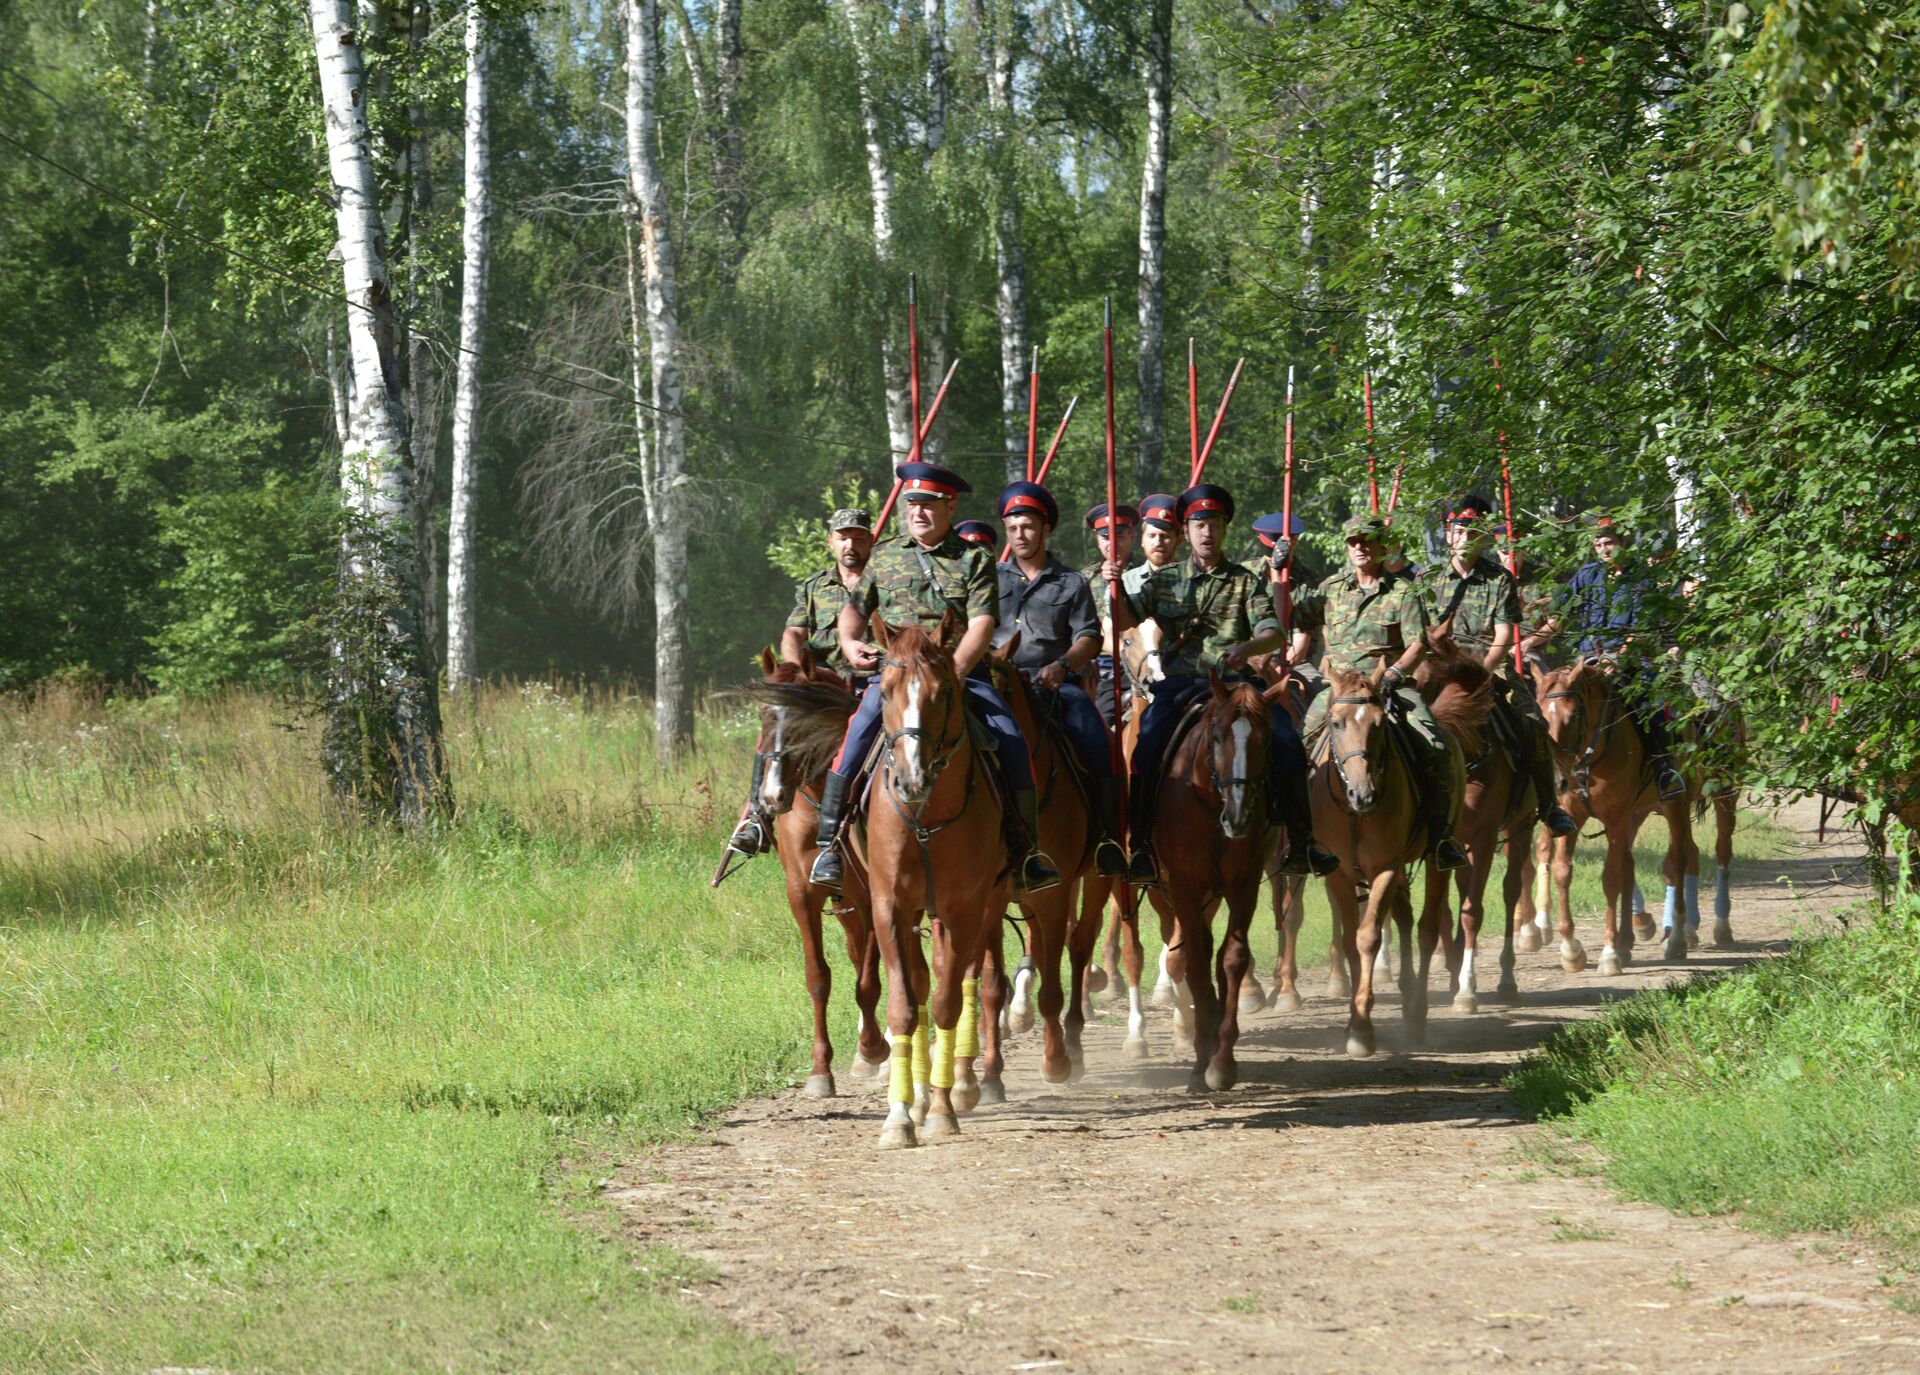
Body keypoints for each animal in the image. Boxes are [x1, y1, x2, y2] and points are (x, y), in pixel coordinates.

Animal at [737, 645, 887, 1098]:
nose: (771, 796)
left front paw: (875, 1048)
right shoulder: (803, 894)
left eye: (808, 719)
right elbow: (819, 977)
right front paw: (822, 1069)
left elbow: (870, 980)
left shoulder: (876, 895)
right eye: (765, 716)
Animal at [860, 618, 1006, 1144]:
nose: (911, 779)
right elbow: (905, 1004)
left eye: (943, 693)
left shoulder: (964, 909)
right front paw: (901, 1115)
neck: (925, 817)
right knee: (921, 983)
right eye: (884, 690)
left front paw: (943, 1110)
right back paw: (920, 1093)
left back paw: (953, 1086)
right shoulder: (889, 907)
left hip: (982, 905)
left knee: (960, 979)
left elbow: (947, 1001)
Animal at [1528, 656, 1712, 971]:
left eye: (1573, 715)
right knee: (1632, 865)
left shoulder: (1615, 819)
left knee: (1677, 862)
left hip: (1675, 806)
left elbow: (1611, 878)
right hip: (1635, 814)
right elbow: (1563, 872)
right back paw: (1628, 939)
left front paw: (1609, 953)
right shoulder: (1571, 816)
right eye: (1540, 717)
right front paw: (1571, 950)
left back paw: (1675, 938)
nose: (1556, 780)